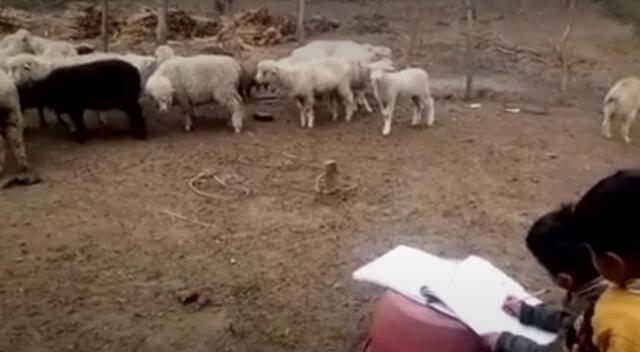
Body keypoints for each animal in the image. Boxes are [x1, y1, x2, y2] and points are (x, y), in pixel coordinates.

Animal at [15, 59, 146, 142]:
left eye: (24, 94)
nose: (18, 106)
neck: (47, 88)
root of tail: (135, 70)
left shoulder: (75, 109)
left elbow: (79, 123)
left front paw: (81, 138)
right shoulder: (74, 109)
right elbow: (78, 123)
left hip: (129, 102)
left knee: (138, 114)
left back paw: (141, 134)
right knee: (134, 115)